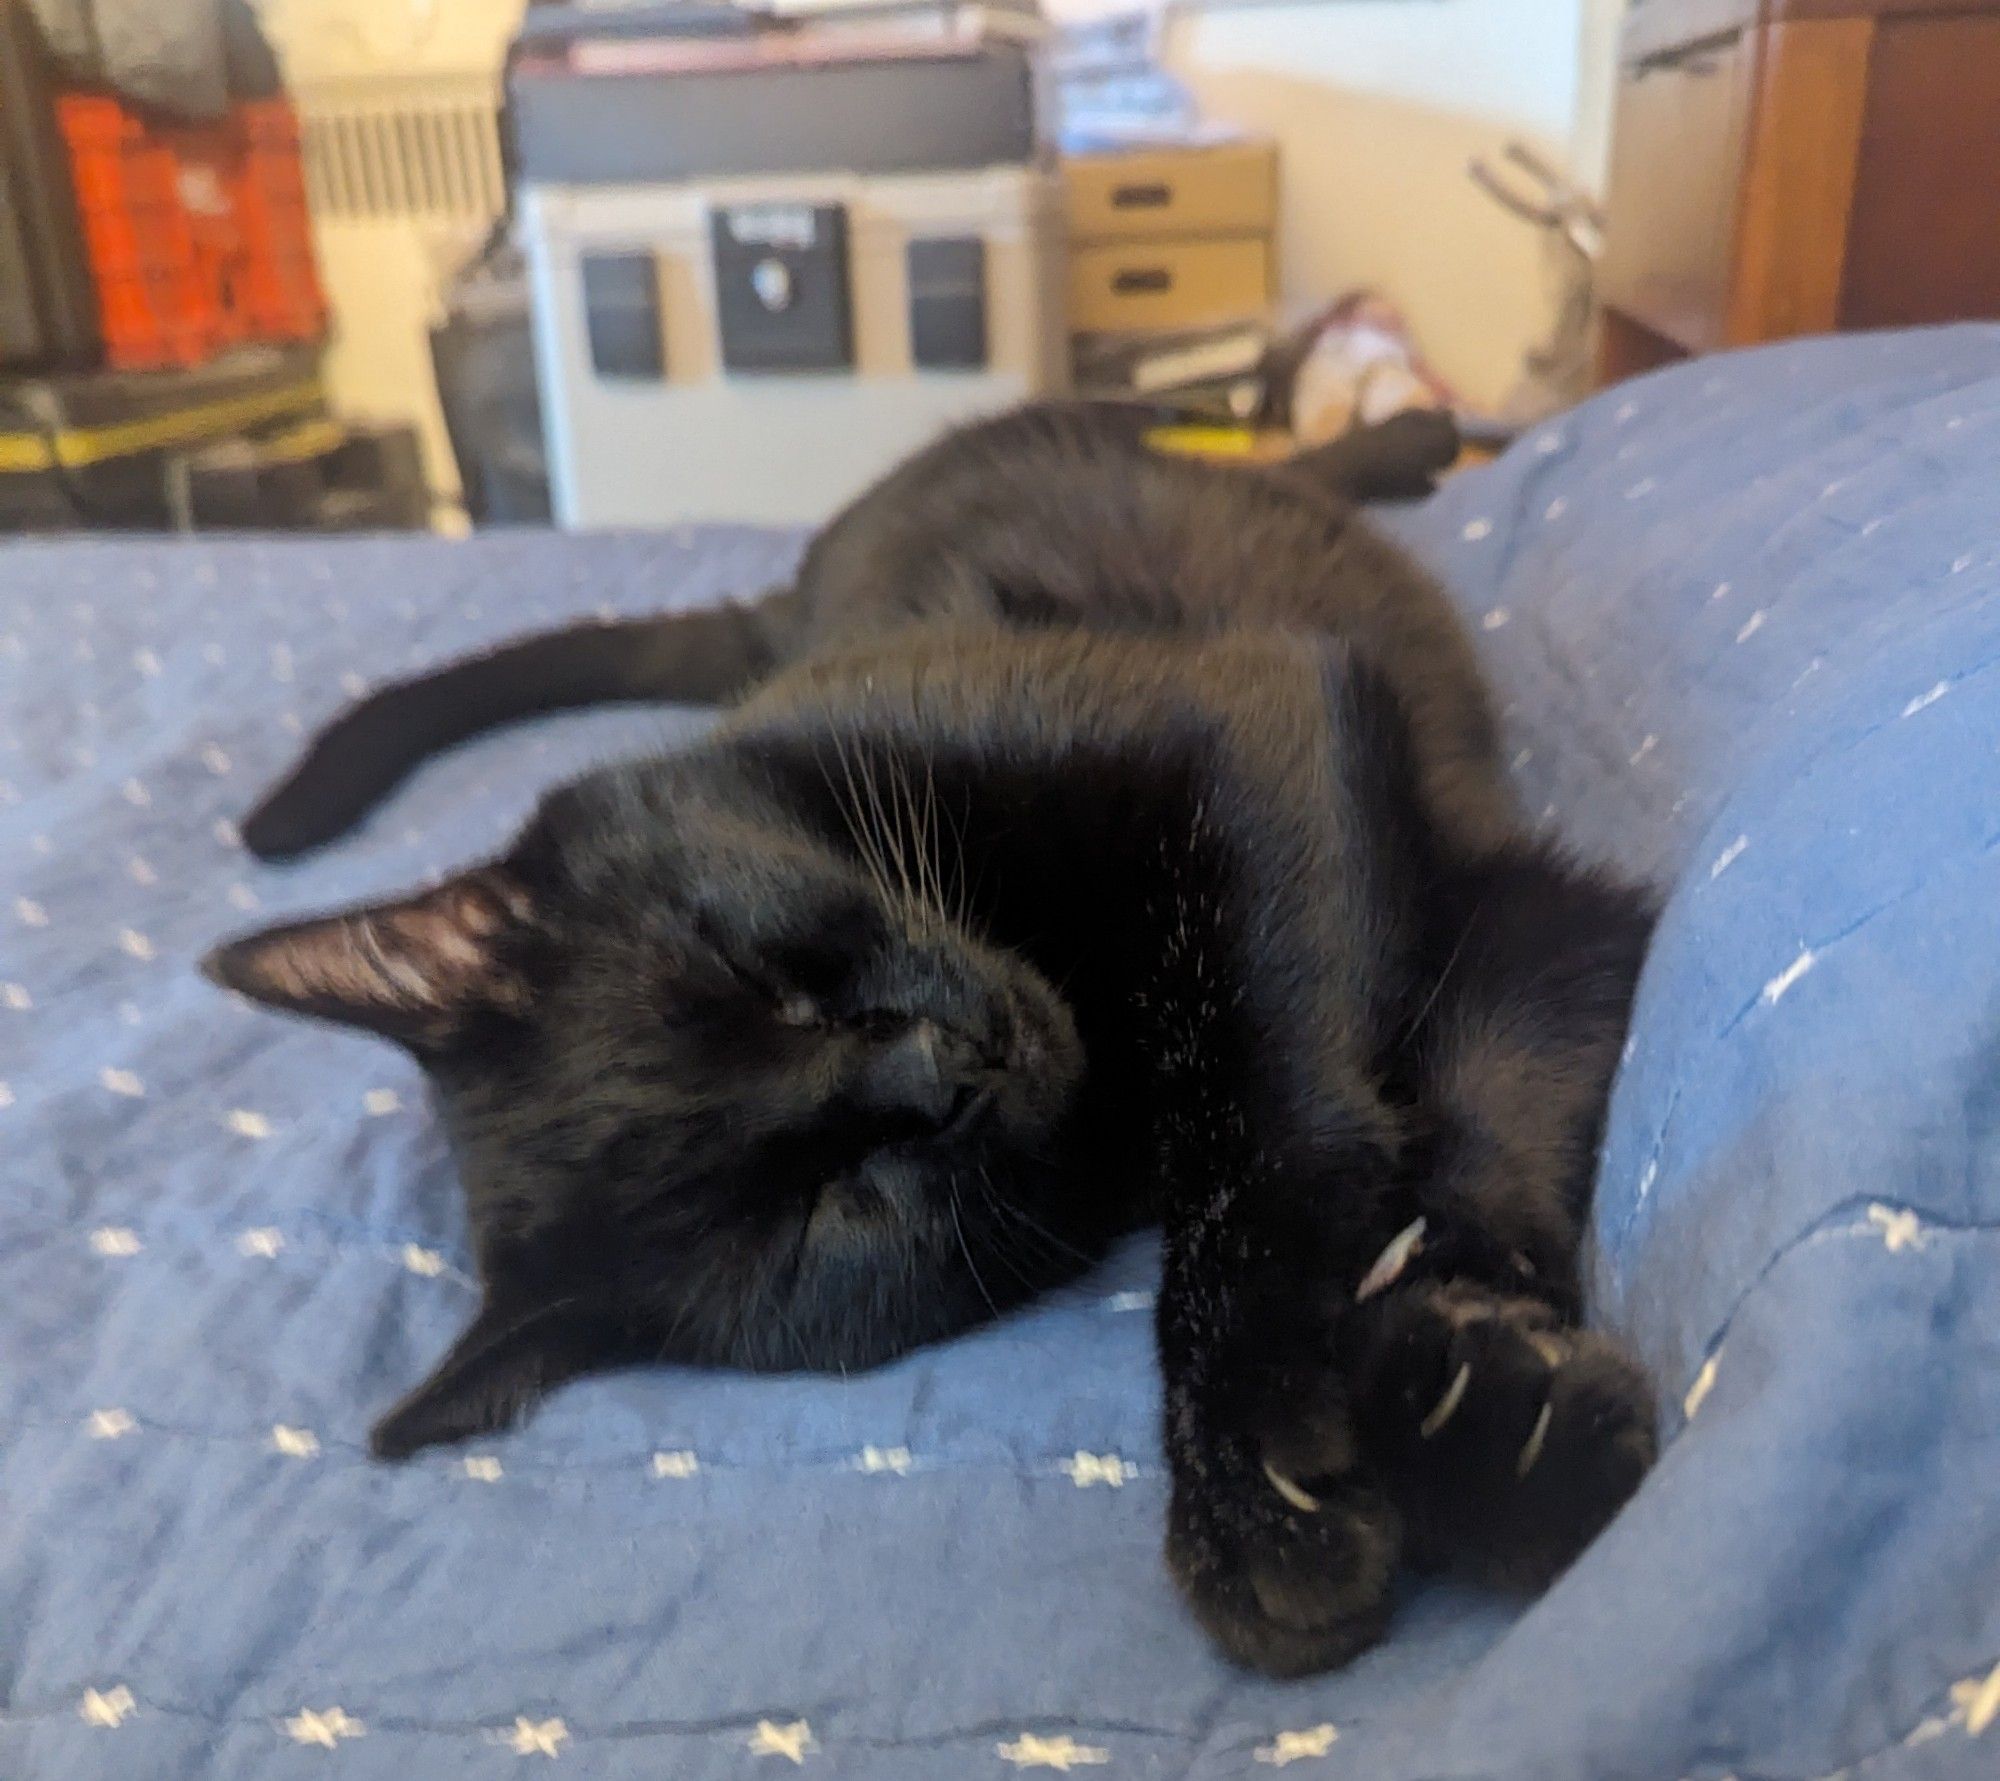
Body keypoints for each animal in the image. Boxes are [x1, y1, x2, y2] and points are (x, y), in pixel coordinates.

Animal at [211, 402, 1664, 1664]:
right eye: (818, 1212)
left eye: (757, 977)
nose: (940, 1071)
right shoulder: (1508, 906)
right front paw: (1474, 1431)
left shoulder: (1257, 722)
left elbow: (1267, 1117)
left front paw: (1265, 1445)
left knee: (1280, 460)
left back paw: (1406, 438)